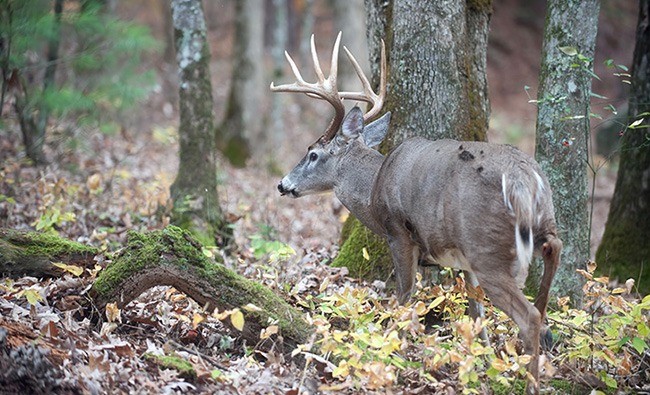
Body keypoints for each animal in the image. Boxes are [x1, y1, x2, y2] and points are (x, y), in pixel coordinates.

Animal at [270, 32, 560, 394]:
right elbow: (476, 314)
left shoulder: (398, 233)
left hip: (487, 247)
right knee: (550, 270)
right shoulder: (463, 261)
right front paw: (481, 367)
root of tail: (525, 178)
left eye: (312, 154)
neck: (375, 186)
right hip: (540, 225)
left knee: (531, 316)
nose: (283, 184)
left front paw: (391, 353)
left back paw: (532, 382)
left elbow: (404, 296)